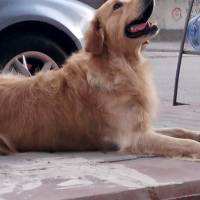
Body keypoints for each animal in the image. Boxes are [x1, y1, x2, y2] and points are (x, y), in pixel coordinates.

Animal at [0, 0, 200, 158]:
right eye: (117, 5)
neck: (123, 65)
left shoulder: (142, 127)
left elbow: (181, 130)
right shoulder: (134, 137)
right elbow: (187, 144)